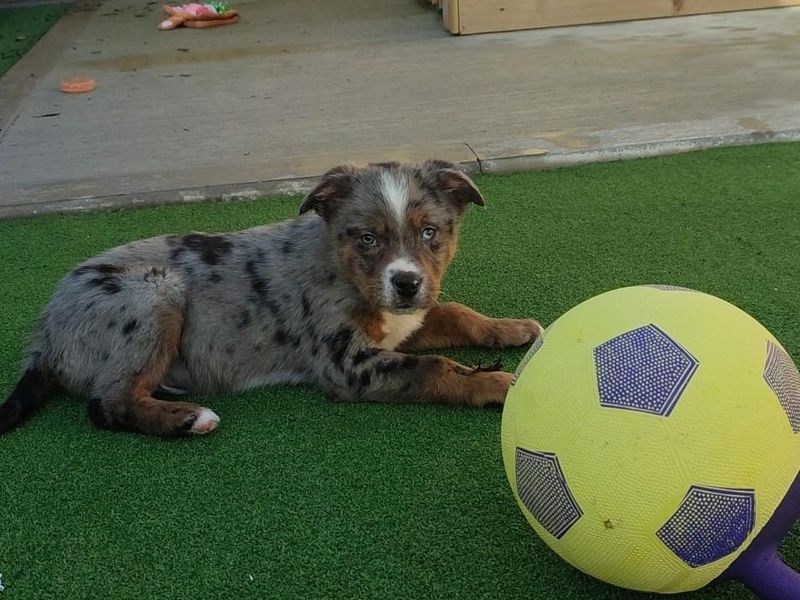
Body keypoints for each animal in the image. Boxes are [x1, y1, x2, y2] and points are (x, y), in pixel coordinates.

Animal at [0, 162, 540, 438]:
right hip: (154, 293)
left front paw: (512, 328)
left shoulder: (404, 320)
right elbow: (436, 367)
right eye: (367, 238)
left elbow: (454, 312)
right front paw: (499, 384)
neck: (341, 267)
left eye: (430, 233)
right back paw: (189, 418)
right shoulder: (347, 364)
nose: (406, 283)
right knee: (105, 403)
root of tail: (46, 332)